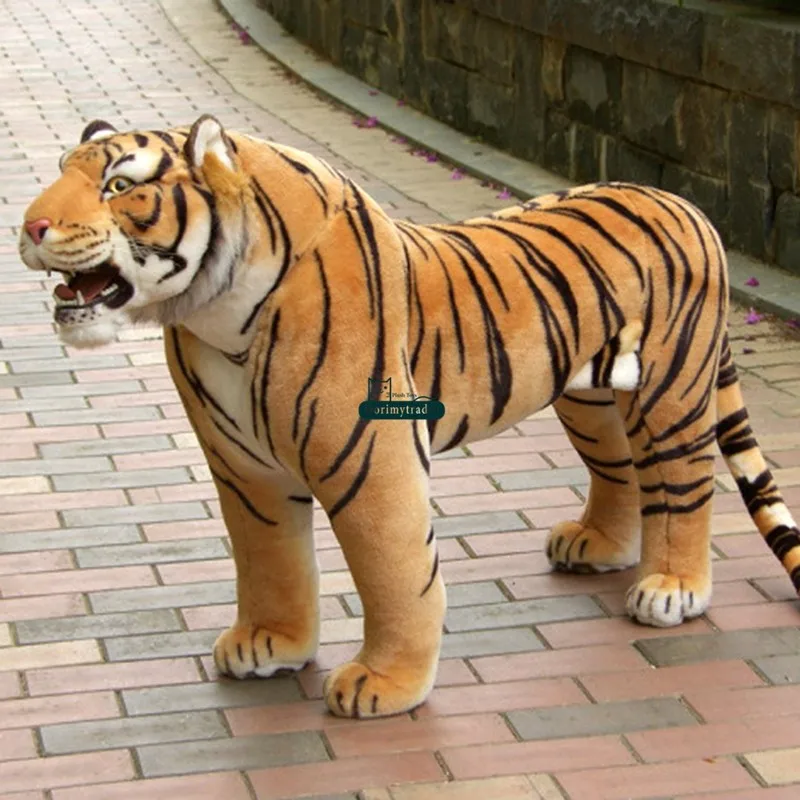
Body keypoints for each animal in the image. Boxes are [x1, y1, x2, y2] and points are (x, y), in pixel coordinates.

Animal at [19, 115, 800, 719]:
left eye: (122, 186)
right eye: (63, 174)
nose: (30, 225)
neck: (215, 314)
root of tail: (686, 203)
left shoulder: (368, 456)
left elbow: (393, 567)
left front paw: (384, 685)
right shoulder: (244, 468)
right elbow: (268, 559)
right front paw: (271, 643)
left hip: (671, 390)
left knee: (684, 486)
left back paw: (672, 589)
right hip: (590, 397)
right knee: (624, 472)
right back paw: (598, 547)